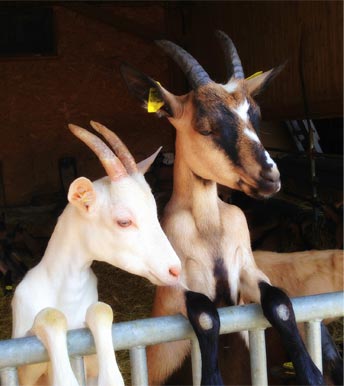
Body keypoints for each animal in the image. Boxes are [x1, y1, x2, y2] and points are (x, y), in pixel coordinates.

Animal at [11, 121, 180, 386]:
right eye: (124, 221)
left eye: (154, 211)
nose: (175, 269)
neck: (66, 293)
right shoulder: (21, 363)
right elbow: (50, 317)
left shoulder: (90, 363)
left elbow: (102, 312)